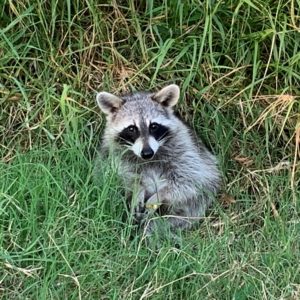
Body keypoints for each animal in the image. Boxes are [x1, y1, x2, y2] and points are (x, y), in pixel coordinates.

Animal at [96, 84, 220, 234]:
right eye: (132, 129)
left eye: (153, 126)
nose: (147, 153)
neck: (149, 159)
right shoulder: (113, 155)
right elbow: (118, 177)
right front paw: (137, 188)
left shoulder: (185, 149)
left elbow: (189, 181)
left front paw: (158, 196)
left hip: (191, 207)